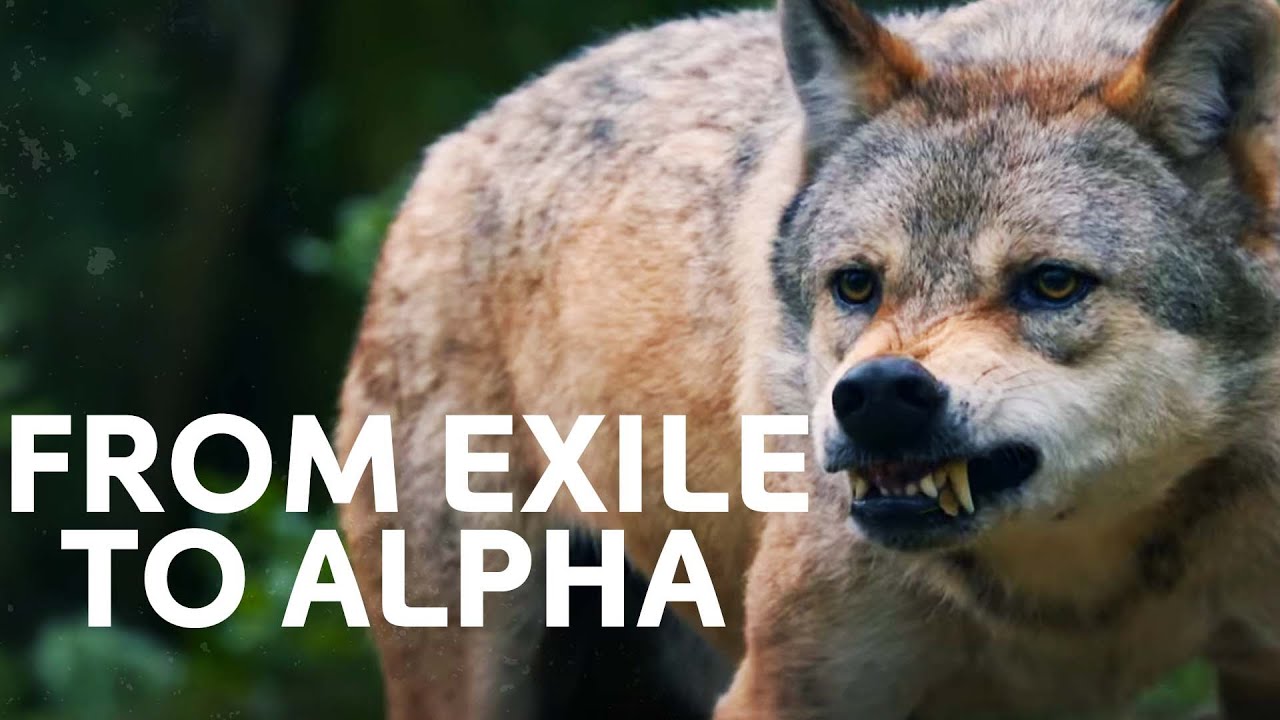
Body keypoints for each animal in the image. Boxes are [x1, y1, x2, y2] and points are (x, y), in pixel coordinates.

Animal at [336, 0, 1280, 717]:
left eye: (1051, 284)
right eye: (856, 284)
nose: (880, 393)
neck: (1076, 593)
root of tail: (457, 145)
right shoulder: (787, 688)